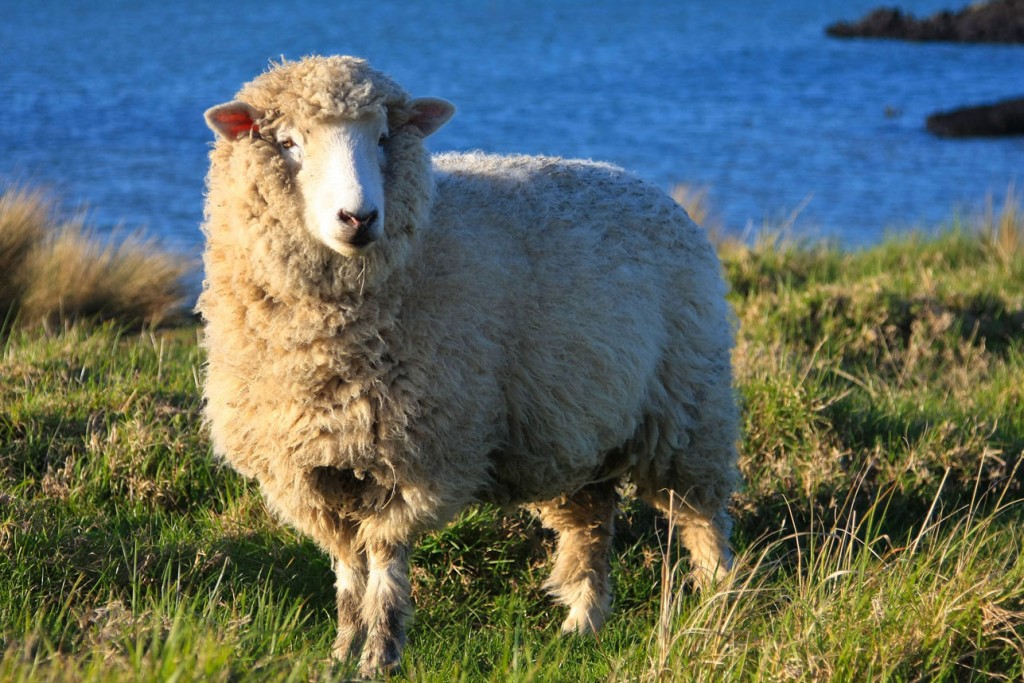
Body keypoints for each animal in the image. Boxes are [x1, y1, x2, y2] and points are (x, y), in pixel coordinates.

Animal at [198, 55, 739, 676]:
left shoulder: (416, 456)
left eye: (383, 138)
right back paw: (583, 623)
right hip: (574, 428)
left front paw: (379, 657)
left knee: (700, 517)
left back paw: (717, 607)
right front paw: (341, 652)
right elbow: (348, 572)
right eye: (288, 142)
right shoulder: (308, 469)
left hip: (686, 407)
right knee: (591, 524)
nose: (359, 218)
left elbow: (382, 564)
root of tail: (648, 187)